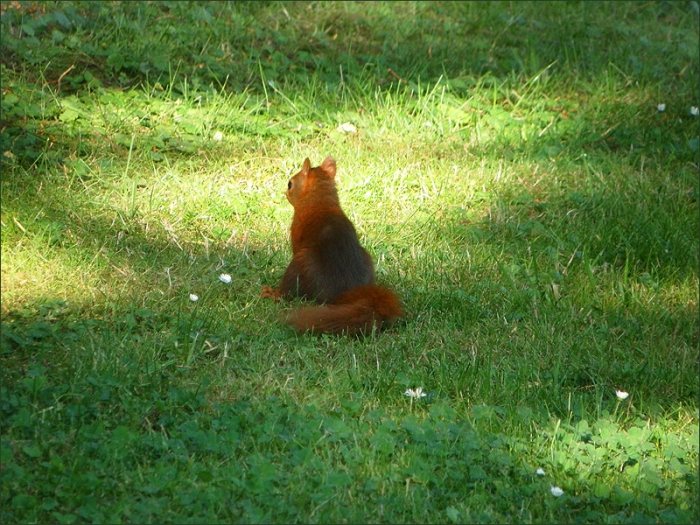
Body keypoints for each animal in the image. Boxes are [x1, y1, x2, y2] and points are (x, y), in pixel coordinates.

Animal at [263, 157, 402, 336]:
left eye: (290, 183)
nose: (285, 192)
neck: (320, 201)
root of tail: (344, 295)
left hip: (301, 264)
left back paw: (273, 293)